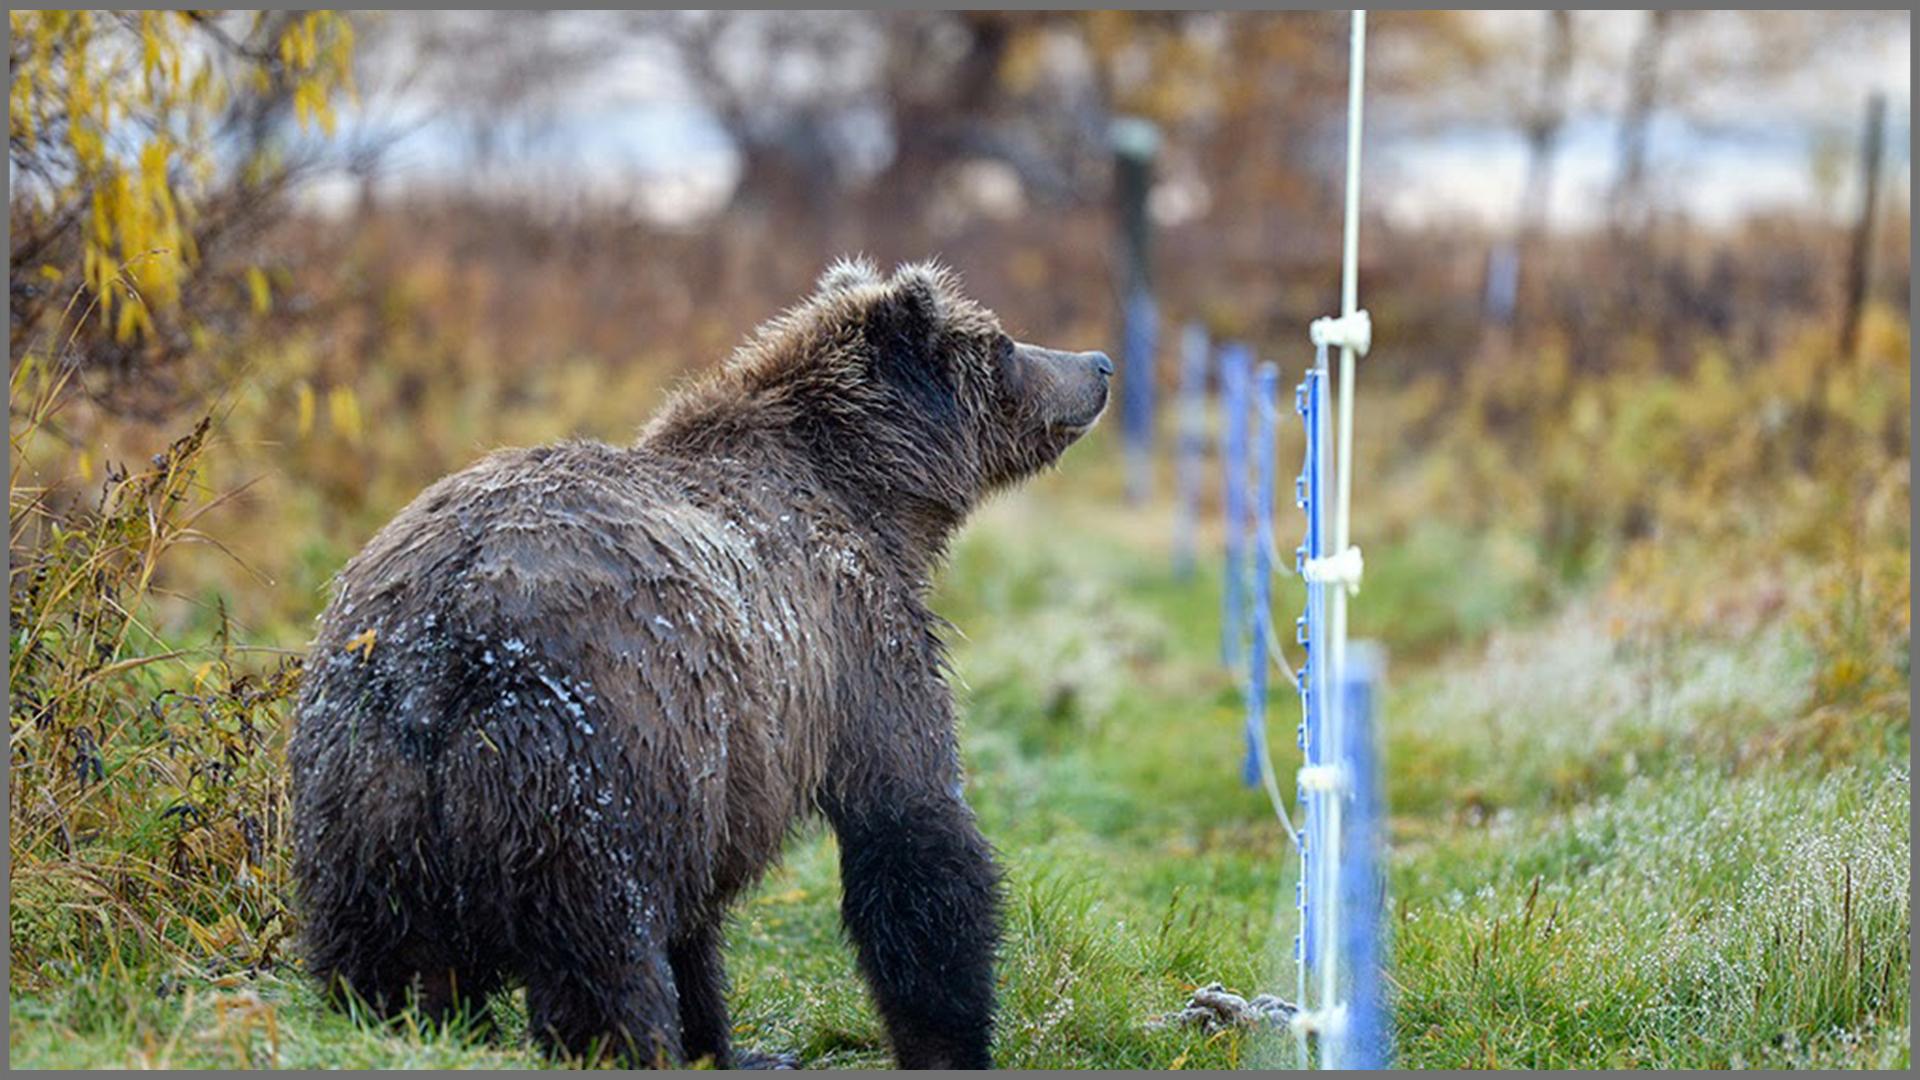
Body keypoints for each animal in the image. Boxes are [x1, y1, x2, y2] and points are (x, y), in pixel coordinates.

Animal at [291, 255, 1121, 1060]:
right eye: (1002, 344)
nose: (1099, 363)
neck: (873, 497)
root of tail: (440, 644)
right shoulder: (852, 641)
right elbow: (912, 824)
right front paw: (948, 1038)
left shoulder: (730, 758)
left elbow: (701, 928)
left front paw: (718, 1039)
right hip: (590, 764)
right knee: (604, 958)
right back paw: (625, 1041)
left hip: (357, 797)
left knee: (376, 960)